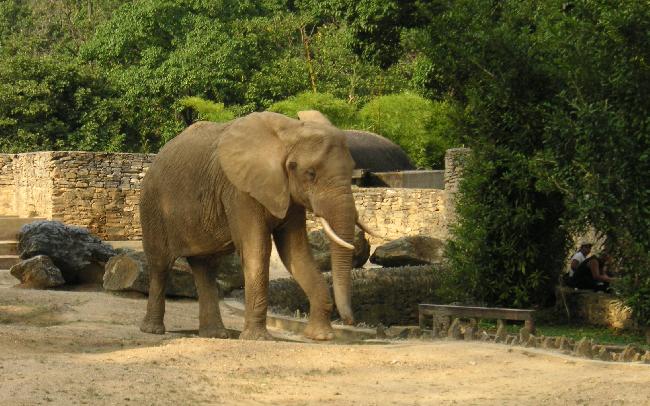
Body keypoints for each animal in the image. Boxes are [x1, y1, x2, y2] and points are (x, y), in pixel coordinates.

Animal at [137, 110, 372, 340]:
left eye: (352, 170)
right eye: (311, 174)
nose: (351, 322)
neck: (289, 132)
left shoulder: (288, 195)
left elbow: (295, 252)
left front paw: (321, 337)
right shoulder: (239, 191)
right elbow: (257, 249)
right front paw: (257, 338)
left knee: (206, 268)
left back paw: (215, 334)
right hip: (153, 206)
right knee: (160, 264)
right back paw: (153, 330)